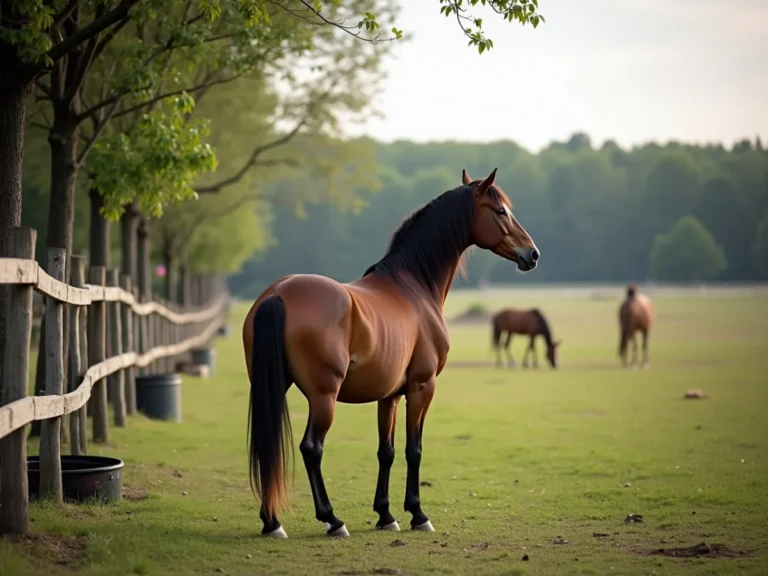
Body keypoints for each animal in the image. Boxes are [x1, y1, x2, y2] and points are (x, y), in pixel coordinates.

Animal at [242, 168, 540, 539]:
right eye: (501, 211)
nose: (532, 254)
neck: (414, 287)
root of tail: (278, 293)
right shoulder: (422, 387)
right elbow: (414, 450)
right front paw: (418, 514)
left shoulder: (390, 395)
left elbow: (387, 451)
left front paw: (386, 515)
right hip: (323, 397)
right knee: (312, 448)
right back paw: (332, 519)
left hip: (271, 387)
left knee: (267, 445)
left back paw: (272, 522)